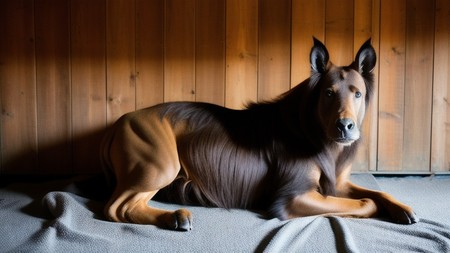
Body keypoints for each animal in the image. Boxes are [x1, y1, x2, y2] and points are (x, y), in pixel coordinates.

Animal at [102, 38, 418, 231]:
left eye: (358, 93)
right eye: (328, 93)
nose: (345, 127)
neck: (316, 133)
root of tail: (118, 124)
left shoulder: (336, 183)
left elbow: (377, 191)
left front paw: (402, 208)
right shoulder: (292, 197)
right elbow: (366, 202)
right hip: (161, 165)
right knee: (116, 208)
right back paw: (175, 217)